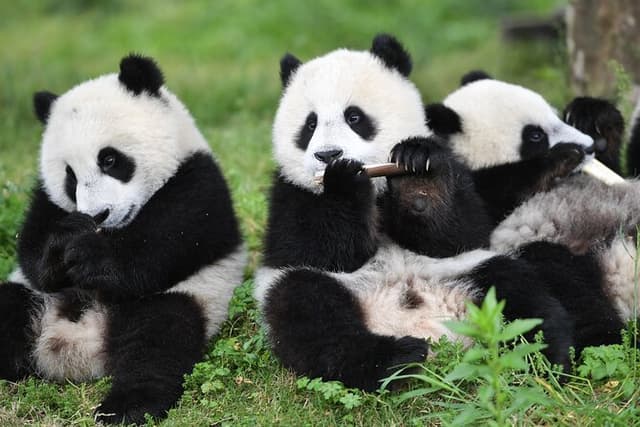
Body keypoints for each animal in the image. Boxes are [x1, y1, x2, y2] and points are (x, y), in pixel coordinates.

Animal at [0, 55, 246, 424]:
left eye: (110, 159)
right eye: (70, 176)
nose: (98, 215)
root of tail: (78, 348)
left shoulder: (200, 184)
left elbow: (158, 249)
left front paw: (90, 256)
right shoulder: (46, 200)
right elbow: (32, 248)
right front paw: (64, 245)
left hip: (187, 296)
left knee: (158, 339)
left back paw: (127, 406)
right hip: (33, 299)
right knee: (9, 307)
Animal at [426, 72, 639, 336]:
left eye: (554, 114)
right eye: (536, 136)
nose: (588, 146)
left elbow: (613, 167)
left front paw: (592, 117)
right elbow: (469, 227)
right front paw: (563, 156)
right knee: (571, 291)